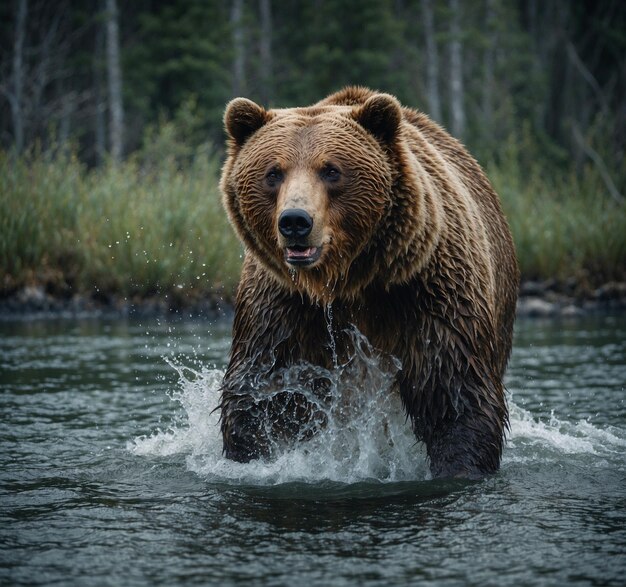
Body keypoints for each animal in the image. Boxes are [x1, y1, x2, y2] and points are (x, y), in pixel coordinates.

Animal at [217, 87, 520, 482]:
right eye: (273, 173)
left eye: (331, 170)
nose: (295, 221)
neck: (345, 282)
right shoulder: (282, 305)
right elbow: (263, 392)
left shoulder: (428, 291)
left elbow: (454, 390)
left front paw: (460, 465)